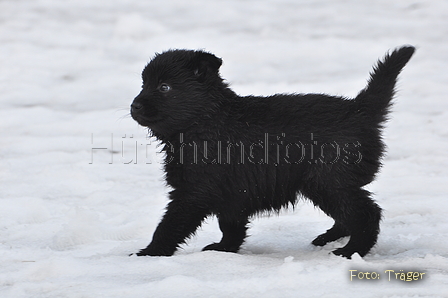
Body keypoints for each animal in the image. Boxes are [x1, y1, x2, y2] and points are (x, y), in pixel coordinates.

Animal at [131, 46, 414, 258]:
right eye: (144, 84)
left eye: (165, 87)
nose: (134, 106)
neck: (205, 120)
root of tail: (359, 110)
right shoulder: (232, 191)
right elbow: (230, 225)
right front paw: (224, 249)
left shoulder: (194, 192)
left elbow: (170, 225)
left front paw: (149, 253)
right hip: (323, 184)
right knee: (348, 215)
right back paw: (328, 238)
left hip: (329, 180)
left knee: (366, 214)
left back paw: (351, 250)